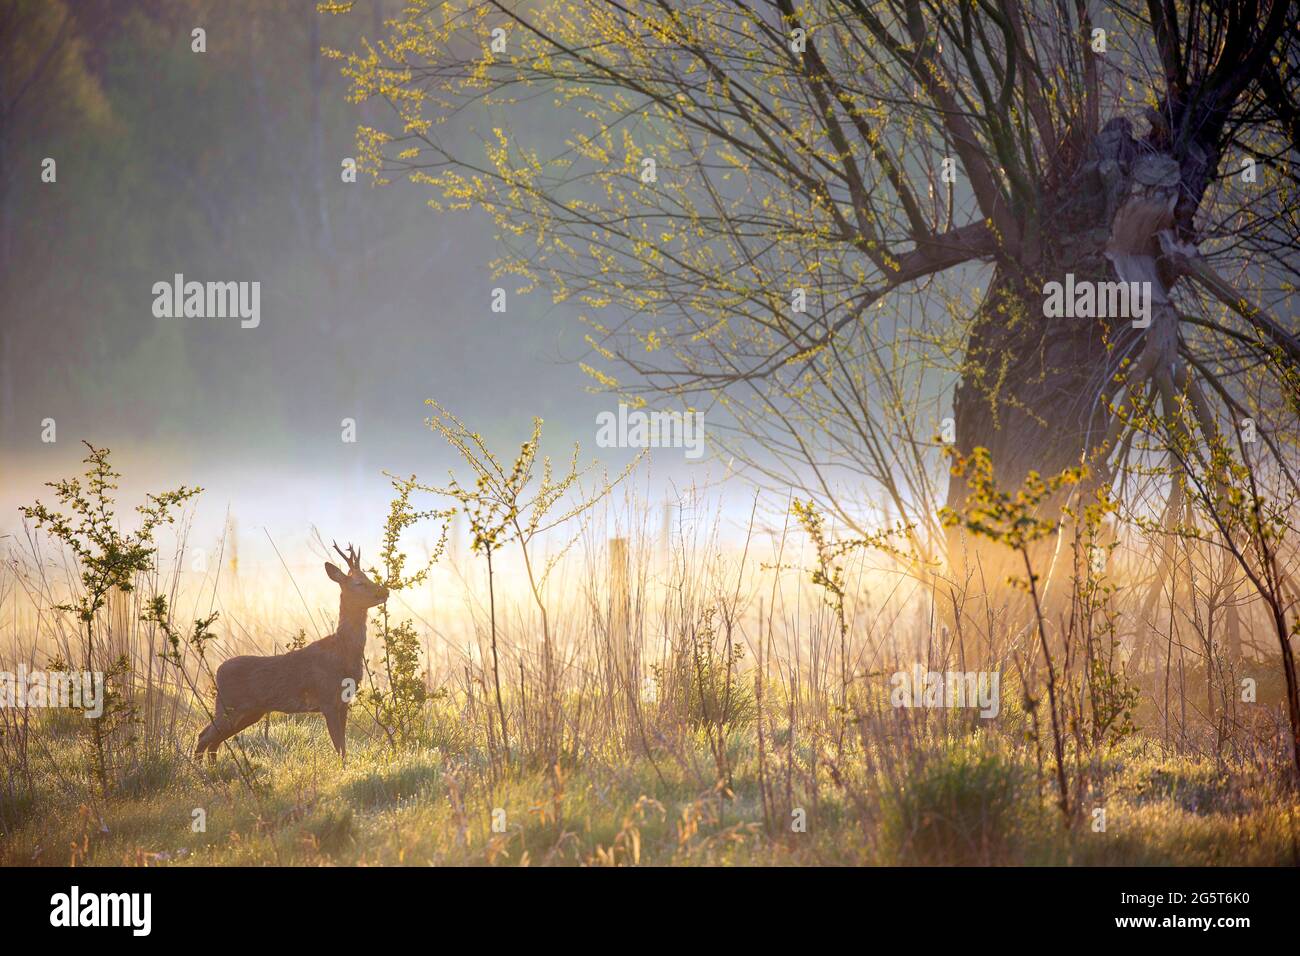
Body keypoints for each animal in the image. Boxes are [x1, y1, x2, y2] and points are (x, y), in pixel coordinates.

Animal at [192, 541, 384, 764]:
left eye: (368, 578)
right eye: (359, 583)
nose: (385, 591)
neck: (343, 651)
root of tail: (217, 670)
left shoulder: (343, 702)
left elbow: (343, 746)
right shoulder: (327, 698)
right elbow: (338, 746)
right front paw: (342, 768)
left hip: (250, 711)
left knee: (214, 740)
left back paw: (212, 768)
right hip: (228, 705)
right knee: (204, 736)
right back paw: (200, 769)